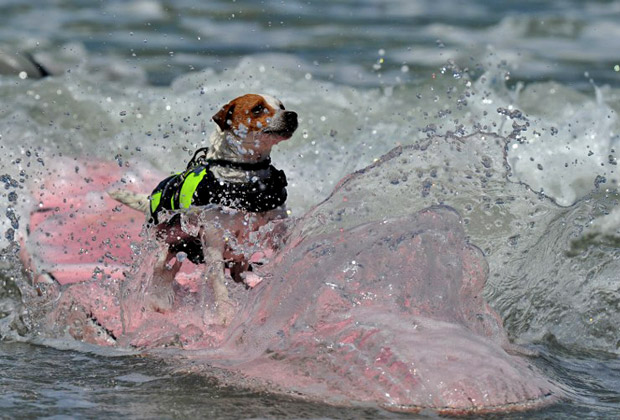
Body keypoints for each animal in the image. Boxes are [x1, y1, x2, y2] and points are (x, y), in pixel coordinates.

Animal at [112, 94, 300, 324]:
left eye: (281, 106)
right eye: (257, 109)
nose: (292, 115)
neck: (246, 180)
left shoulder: (276, 227)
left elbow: (281, 242)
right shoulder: (214, 242)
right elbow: (218, 282)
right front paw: (226, 313)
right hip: (164, 243)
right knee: (160, 268)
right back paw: (158, 298)